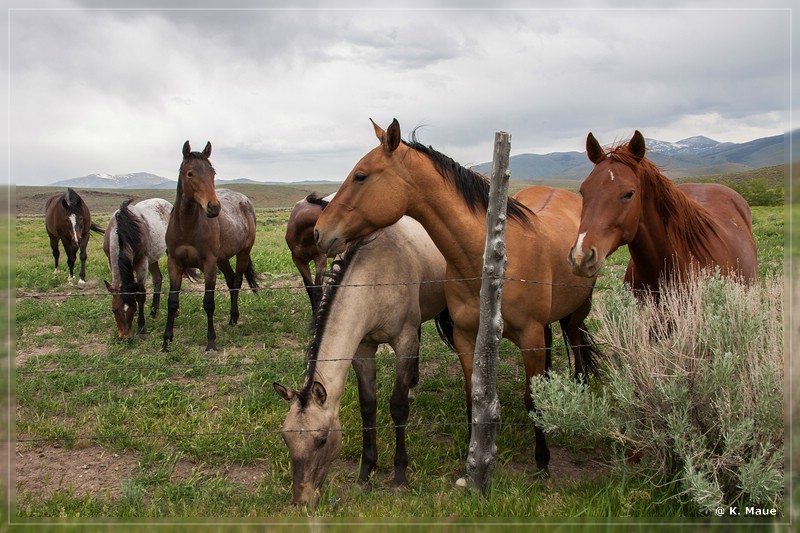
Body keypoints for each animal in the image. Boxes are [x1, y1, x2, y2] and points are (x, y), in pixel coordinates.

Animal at [102, 197, 173, 338]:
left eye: (133, 309)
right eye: (114, 310)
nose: (125, 337)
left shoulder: (142, 263)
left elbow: (140, 295)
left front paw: (141, 327)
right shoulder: (110, 263)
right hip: (153, 259)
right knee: (158, 279)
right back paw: (153, 312)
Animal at [162, 139, 260, 352]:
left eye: (213, 173)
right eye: (190, 173)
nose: (213, 207)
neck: (187, 227)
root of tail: (244, 200)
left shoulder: (208, 264)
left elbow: (208, 302)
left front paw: (211, 341)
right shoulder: (174, 263)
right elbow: (172, 302)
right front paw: (166, 341)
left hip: (242, 253)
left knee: (237, 281)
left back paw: (234, 317)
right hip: (222, 259)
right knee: (231, 280)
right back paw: (232, 319)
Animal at [274, 215, 450, 502]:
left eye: (322, 439)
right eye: (285, 438)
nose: (302, 499)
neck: (376, 277)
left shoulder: (404, 341)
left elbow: (397, 407)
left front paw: (399, 476)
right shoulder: (363, 349)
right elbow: (368, 406)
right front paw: (366, 472)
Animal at [312, 119, 600, 478]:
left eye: (361, 176)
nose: (318, 231)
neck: (490, 260)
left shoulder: (529, 336)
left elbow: (530, 398)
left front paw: (543, 460)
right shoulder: (466, 336)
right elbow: (471, 397)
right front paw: (471, 453)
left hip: (576, 314)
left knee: (576, 347)